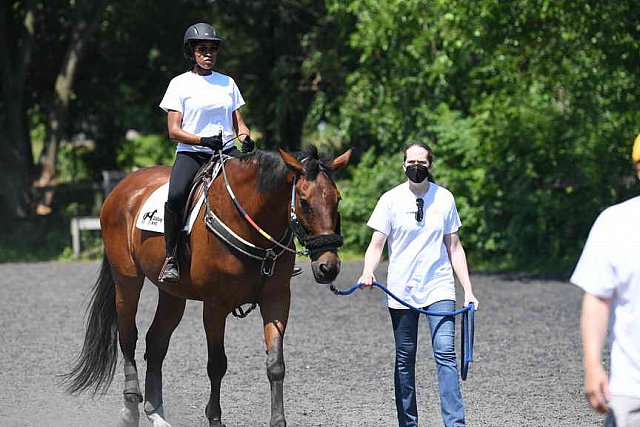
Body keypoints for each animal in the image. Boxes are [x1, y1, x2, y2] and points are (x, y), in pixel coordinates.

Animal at [63, 148, 352, 427]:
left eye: (337, 199)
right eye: (303, 201)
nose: (328, 267)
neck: (248, 222)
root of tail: (123, 187)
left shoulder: (276, 300)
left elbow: (275, 364)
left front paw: (278, 420)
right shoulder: (215, 306)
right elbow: (217, 364)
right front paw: (214, 418)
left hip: (172, 295)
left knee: (155, 343)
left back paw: (156, 414)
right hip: (127, 281)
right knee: (128, 336)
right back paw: (130, 408)